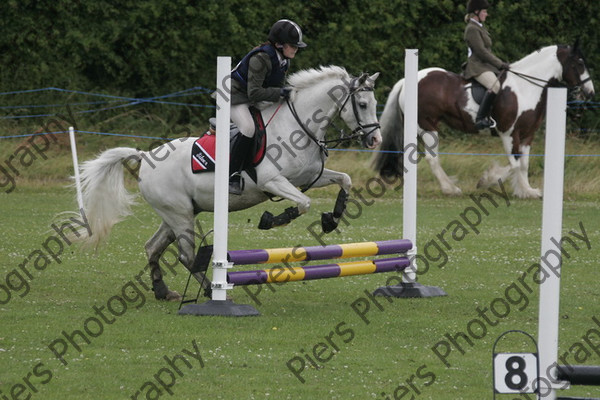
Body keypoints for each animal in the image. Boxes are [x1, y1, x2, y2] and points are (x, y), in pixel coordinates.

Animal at [69, 66, 380, 300]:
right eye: (363, 104)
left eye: (376, 104)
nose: (375, 140)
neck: (299, 125)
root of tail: (146, 157)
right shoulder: (273, 181)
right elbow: (303, 203)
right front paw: (272, 219)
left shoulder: (307, 177)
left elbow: (345, 180)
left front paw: (331, 219)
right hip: (180, 215)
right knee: (186, 256)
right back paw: (210, 291)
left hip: (177, 214)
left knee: (153, 247)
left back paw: (163, 291)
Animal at [376, 43, 596, 198]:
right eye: (579, 64)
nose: (589, 92)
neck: (525, 87)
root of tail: (407, 81)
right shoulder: (508, 133)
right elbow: (514, 163)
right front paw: (487, 180)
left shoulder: (527, 134)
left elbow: (524, 164)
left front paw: (527, 191)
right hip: (427, 125)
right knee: (432, 158)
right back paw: (450, 189)